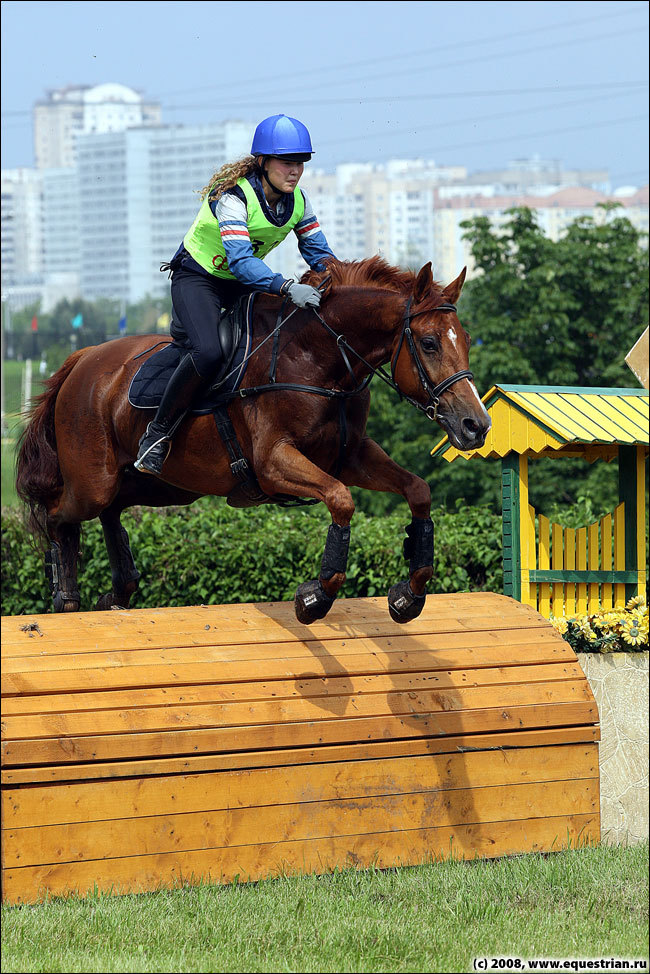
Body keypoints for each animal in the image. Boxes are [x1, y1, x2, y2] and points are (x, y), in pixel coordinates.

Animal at [15, 260, 488, 624]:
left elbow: (417, 491)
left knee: (111, 512)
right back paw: (64, 593)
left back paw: (117, 592)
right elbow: (341, 500)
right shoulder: (274, 462)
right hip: (92, 480)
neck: (318, 359)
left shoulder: (352, 456)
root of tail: (83, 359)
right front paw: (315, 597)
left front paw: (409, 594)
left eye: (466, 341)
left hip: (157, 486)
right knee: (58, 515)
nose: (475, 426)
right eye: (429, 343)